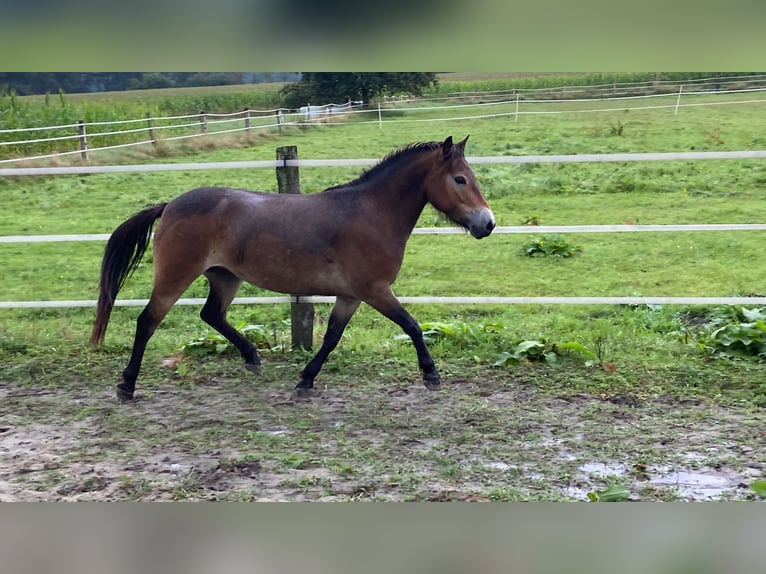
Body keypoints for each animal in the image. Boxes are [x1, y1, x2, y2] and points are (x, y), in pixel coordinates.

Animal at [91, 137, 498, 402]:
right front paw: (431, 375)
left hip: (225, 276)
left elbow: (332, 337)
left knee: (212, 315)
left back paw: (252, 359)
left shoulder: (351, 295)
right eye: (460, 179)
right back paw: (126, 386)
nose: (488, 224)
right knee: (148, 320)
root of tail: (170, 205)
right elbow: (411, 325)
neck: (371, 213)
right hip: (175, 276)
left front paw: (305, 381)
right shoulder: (375, 290)